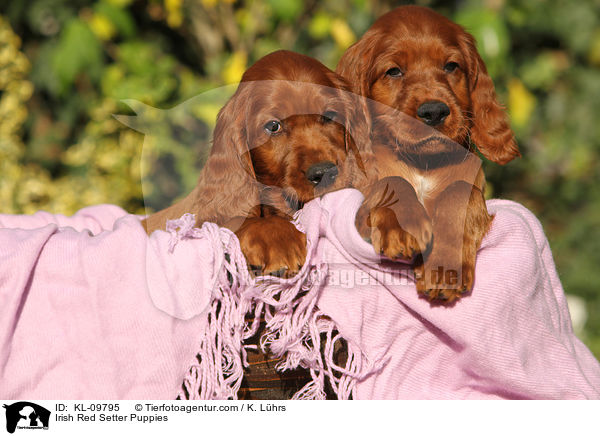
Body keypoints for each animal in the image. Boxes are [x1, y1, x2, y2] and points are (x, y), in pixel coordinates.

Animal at [338, 5, 520, 302]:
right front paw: (403, 230)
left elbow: (458, 193)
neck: (422, 163)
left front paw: (443, 269)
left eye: (451, 66)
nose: (434, 111)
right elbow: (393, 182)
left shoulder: (474, 191)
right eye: (394, 71)